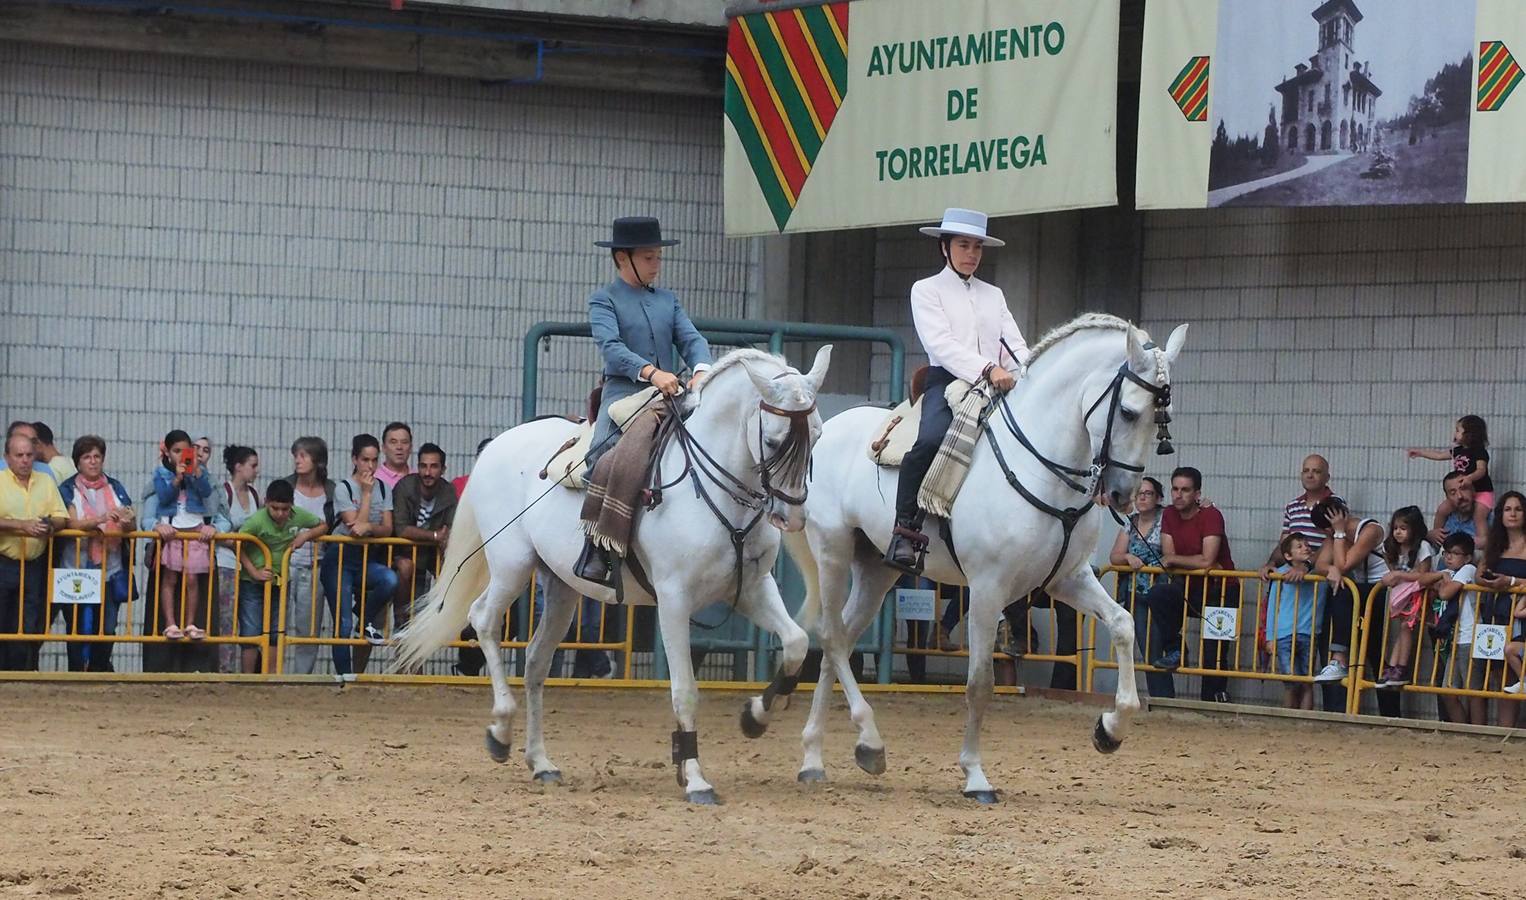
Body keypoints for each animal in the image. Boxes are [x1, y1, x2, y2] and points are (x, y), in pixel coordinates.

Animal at [390, 346, 824, 805]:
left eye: (817, 435)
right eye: (774, 441)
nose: (792, 517)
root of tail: (499, 444)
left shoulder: (752, 589)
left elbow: (796, 644)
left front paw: (753, 717)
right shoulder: (674, 600)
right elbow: (685, 691)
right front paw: (695, 779)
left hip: (561, 587)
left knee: (536, 662)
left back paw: (540, 762)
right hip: (511, 565)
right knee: (484, 620)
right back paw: (500, 732)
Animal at [787, 315, 1190, 805]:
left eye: (1162, 418)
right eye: (1130, 412)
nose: (1121, 496)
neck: (1037, 463)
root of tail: (829, 431)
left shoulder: (1068, 580)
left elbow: (1124, 624)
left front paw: (1110, 729)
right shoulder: (987, 589)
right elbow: (980, 682)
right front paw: (976, 776)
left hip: (877, 571)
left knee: (839, 641)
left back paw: (820, 757)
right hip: (833, 552)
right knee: (830, 635)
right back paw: (864, 743)